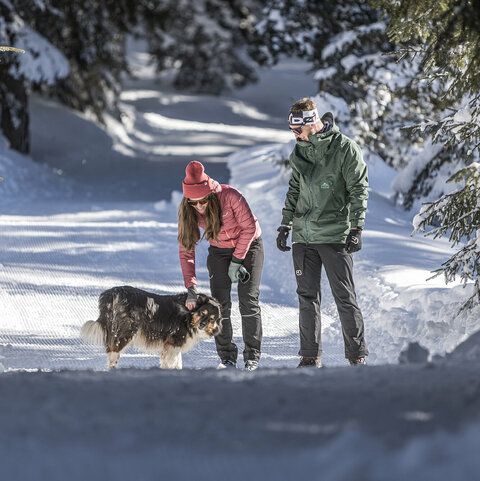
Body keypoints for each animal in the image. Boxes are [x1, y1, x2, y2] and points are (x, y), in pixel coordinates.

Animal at [81, 286, 223, 370]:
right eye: (202, 313)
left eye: (212, 318)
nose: (202, 325)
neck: (188, 314)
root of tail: (112, 293)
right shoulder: (174, 342)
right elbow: (177, 363)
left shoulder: (168, 346)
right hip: (125, 332)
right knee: (113, 354)